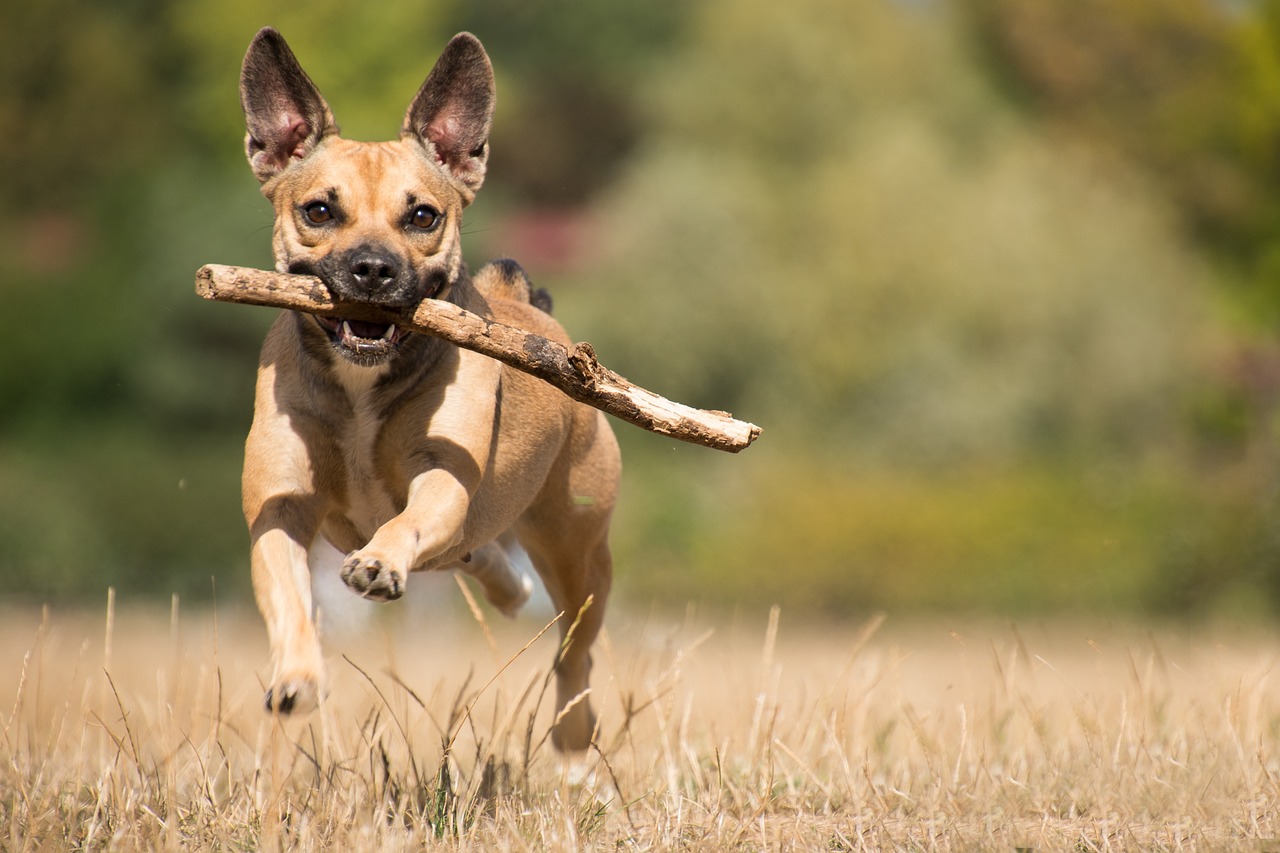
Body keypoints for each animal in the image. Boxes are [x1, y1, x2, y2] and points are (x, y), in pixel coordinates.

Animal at [240, 26, 624, 747]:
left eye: (422, 216)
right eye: (319, 210)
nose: (372, 268)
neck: (361, 381)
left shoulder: (442, 476)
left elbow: (411, 518)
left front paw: (377, 562)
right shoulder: (280, 505)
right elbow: (286, 592)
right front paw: (296, 676)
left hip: (578, 551)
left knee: (576, 652)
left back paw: (572, 734)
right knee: (482, 557)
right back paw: (503, 585)